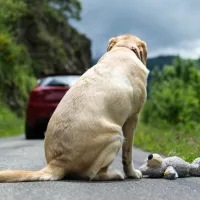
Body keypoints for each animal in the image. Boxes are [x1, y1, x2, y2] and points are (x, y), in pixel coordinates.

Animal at [0, 33, 148, 182]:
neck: (123, 48)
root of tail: (58, 162)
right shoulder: (133, 117)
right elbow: (128, 153)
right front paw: (132, 173)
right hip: (116, 135)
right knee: (93, 174)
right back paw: (115, 174)